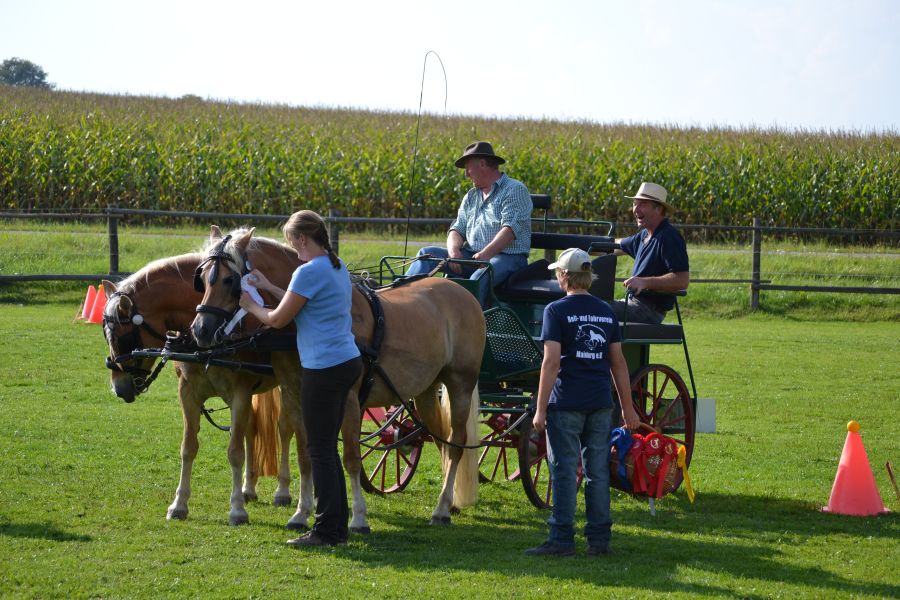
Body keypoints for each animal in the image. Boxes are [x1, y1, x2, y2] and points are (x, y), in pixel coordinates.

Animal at [100, 252, 314, 527]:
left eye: (120, 337)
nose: (118, 387)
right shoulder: (189, 394)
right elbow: (189, 447)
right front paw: (179, 505)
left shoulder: (240, 394)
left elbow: (234, 451)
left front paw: (236, 511)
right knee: (253, 430)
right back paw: (249, 489)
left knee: (286, 430)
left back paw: (285, 492)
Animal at [190, 227, 486, 525]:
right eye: (202, 279)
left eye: (229, 280)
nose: (201, 330)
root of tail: (463, 292)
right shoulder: (296, 395)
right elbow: (305, 454)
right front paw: (302, 512)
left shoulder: (350, 399)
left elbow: (352, 458)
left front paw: (357, 517)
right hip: (425, 391)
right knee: (440, 439)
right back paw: (449, 503)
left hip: (460, 383)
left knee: (456, 443)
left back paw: (441, 509)